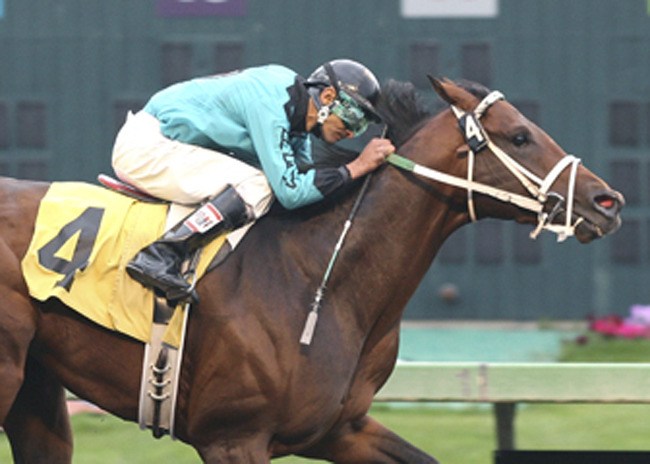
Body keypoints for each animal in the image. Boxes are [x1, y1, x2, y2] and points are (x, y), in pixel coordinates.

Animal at [0, 78, 624, 462]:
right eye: (520, 135)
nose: (608, 200)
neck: (320, 278)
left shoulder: (339, 429)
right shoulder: (233, 438)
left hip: (37, 389)